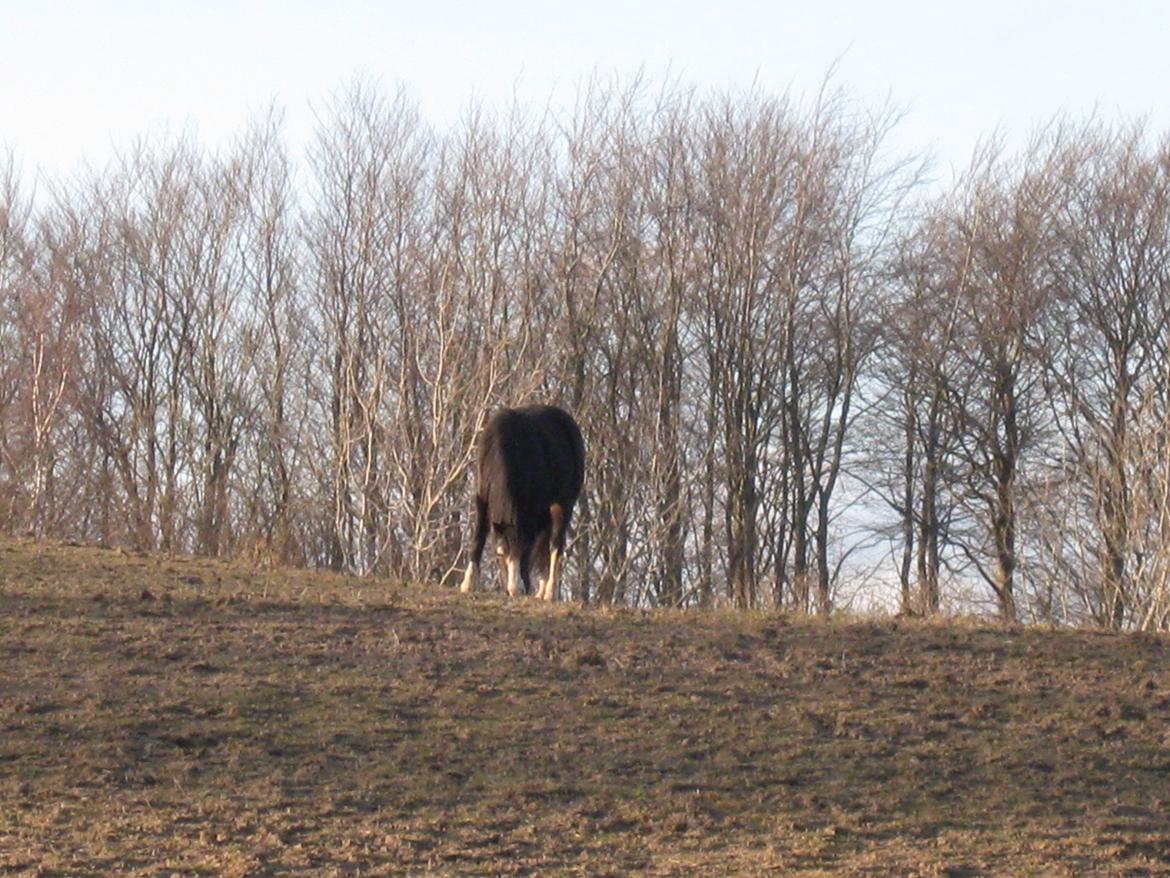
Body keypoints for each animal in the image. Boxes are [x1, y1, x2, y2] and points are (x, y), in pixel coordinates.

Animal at [456, 405, 585, 599]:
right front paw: (468, 583)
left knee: (555, 545)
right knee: (544, 544)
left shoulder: (530, 510)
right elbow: (479, 535)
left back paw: (549, 592)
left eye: (519, 551)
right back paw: (541, 590)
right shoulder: (482, 496)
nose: (514, 590)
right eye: (501, 553)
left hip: (563, 504)